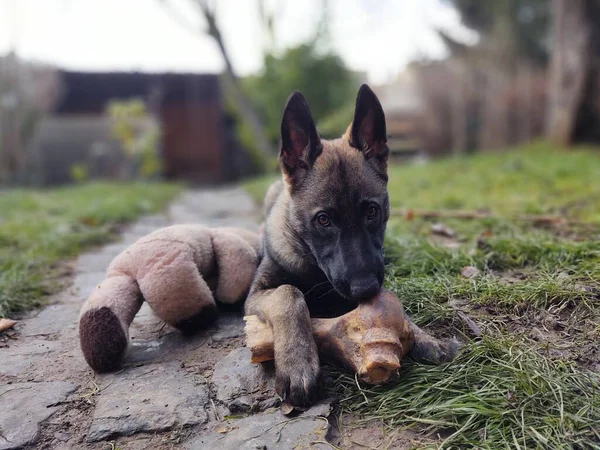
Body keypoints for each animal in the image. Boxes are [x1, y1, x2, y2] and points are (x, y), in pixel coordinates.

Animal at [245, 83, 460, 408]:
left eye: (371, 211)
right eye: (323, 220)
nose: (365, 288)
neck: (314, 268)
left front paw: (424, 337)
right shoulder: (257, 293)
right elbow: (288, 293)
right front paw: (298, 362)